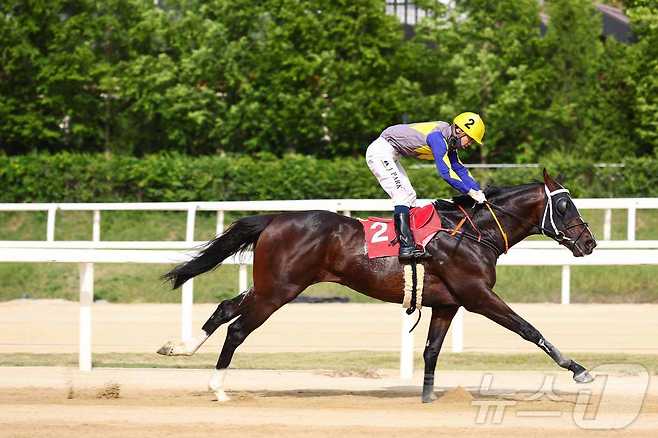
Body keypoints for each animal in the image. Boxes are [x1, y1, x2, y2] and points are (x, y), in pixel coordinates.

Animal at [158, 169, 596, 402]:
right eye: (564, 206)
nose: (589, 243)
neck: (474, 232)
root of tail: (275, 218)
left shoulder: (448, 303)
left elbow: (431, 350)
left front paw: (428, 396)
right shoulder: (478, 296)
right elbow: (528, 329)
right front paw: (577, 369)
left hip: (271, 285)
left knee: (224, 309)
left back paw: (178, 348)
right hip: (278, 290)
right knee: (237, 327)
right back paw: (218, 388)